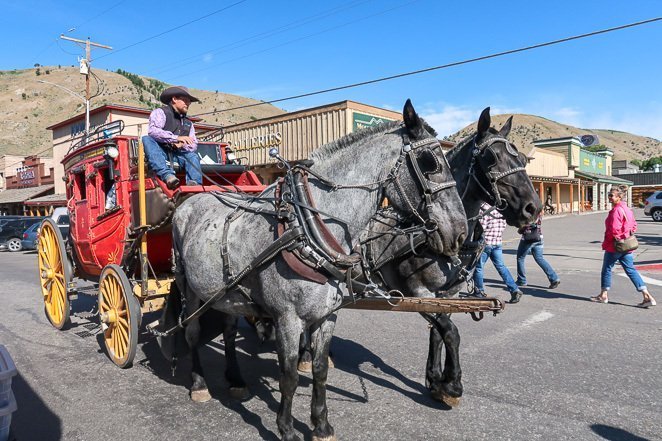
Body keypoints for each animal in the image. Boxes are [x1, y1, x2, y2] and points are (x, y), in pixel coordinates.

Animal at [163, 100, 470, 440]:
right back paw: (199, 384)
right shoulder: (287, 318)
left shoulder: (327, 315)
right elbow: (289, 376)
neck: (306, 227)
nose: (459, 233)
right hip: (189, 288)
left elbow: (320, 369)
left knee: (229, 332)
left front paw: (321, 424)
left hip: (227, 294)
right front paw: (286, 428)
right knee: (191, 332)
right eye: (431, 163)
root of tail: (190, 199)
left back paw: (236, 379)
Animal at [364, 106, 544, 406]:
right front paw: (452, 384)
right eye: (491, 158)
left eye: (520, 158)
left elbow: (439, 333)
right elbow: (450, 331)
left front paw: (436, 380)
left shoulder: (447, 294)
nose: (533, 208)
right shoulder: (418, 291)